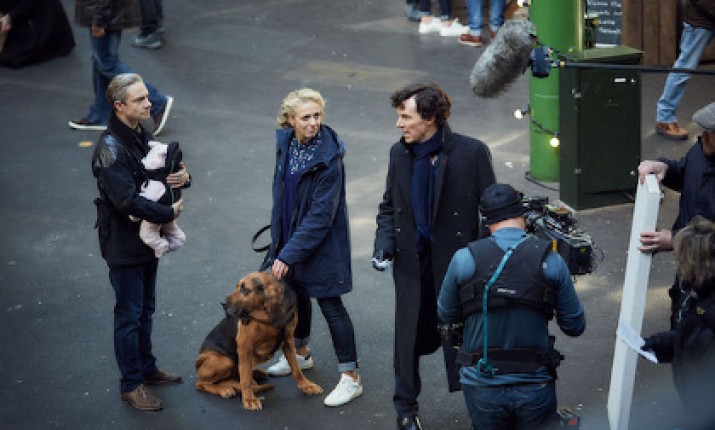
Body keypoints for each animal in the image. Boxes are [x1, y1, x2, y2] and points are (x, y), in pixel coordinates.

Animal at [195, 271, 323, 410]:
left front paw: (307, 386)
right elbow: (245, 379)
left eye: (244, 289)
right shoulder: (245, 347)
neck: (267, 318)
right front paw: (249, 400)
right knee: (200, 383)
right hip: (225, 361)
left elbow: (296, 369)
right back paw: (224, 389)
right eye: (237, 286)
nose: (222, 303)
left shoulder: (288, 341)